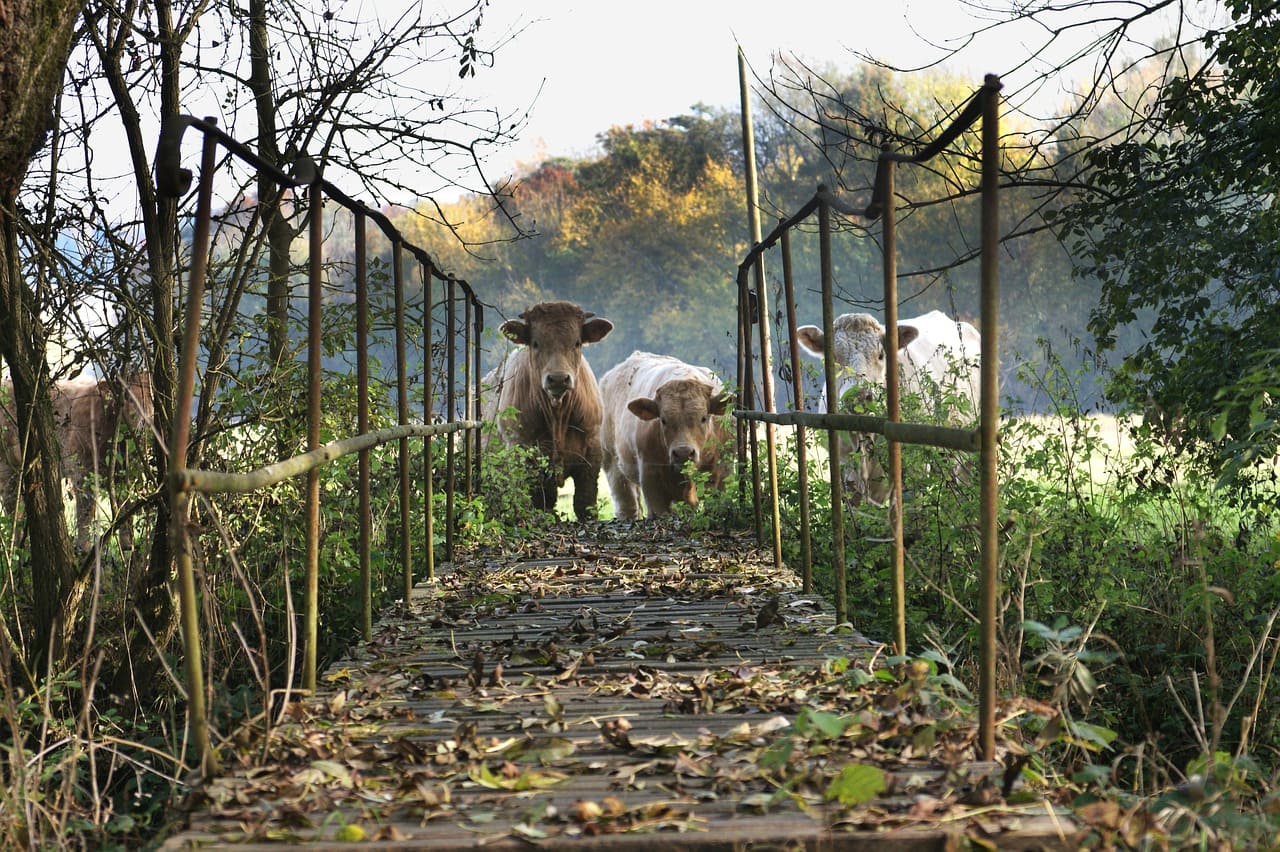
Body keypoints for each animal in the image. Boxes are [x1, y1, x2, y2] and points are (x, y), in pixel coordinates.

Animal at [0, 373, 154, 547]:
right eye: (126, 396)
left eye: (152, 395)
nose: (146, 421)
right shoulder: (83, 472)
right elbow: (85, 512)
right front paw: (83, 547)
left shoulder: (124, 475)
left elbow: (125, 506)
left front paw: (128, 545)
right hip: (8, 467)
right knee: (12, 504)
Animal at [483, 301, 614, 521]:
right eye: (535, 343)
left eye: (577, 343)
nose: (559, 378)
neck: (557, 415)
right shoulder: (523, 452)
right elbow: (539, 503)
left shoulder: (592, 451)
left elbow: (585, 503)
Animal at [596, 347, 732, 516]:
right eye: (663, 420)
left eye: (704, 418)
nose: (683, 453)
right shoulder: (651, 477)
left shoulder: (721, 472)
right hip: (611, 461)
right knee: (626, 503)